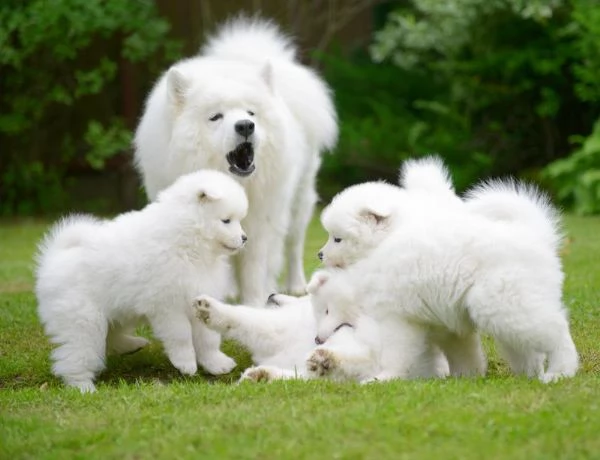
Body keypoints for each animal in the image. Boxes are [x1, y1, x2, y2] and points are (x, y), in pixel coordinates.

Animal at [34, 169, 250, 392]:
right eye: (226, 220)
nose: (244, 238)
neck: (188, 241)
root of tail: (55, 257)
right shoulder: (167, 305)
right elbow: (180, 335)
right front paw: (186, 363)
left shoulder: (198, 296)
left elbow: (208, 339)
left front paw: (217, 364)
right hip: (83, 320)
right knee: (75, 354)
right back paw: (83, 387)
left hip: (118, 308)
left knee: (112, 336)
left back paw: (132, 345)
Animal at [134, 17, 338, 306]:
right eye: (215, 116)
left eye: (251, 113)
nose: (245, 126)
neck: (232, 181)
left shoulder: (260, 223)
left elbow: (254, 268)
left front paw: (253, 304)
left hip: (298, 201)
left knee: (293, 245)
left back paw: (295, 285)